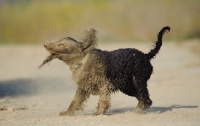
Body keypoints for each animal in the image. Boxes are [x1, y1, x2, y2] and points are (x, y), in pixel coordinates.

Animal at [39, 26, 170, 115]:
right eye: (58, 41)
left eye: (62, 45)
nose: (46, 44)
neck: (82, 60)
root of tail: (146, 56)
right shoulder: (83, 87)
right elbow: (75, 101)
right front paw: (67, 113)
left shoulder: (104, 84)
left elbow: (103, 100)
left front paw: (99, 113)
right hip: (128, 87)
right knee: (142, 99)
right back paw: (137, 110)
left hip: (138, 82)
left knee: (147, 99)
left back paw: (140, 112)